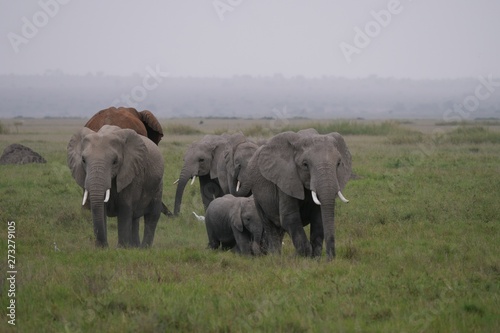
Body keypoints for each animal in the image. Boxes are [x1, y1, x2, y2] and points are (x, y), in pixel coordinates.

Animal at [237, 130, 352, 260]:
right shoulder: (285, 179)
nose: (329, 259)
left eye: (338, 163)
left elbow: (319, 218)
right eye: (305, 164)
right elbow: (290, 218)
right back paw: (275, 257)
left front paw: (315, 259)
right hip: (257, 194)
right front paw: (304, 257)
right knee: (269, 225)